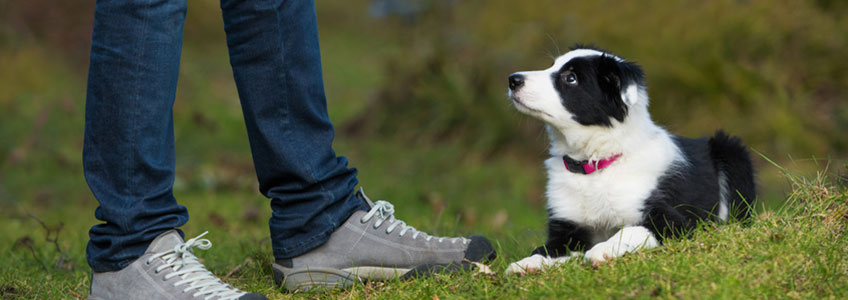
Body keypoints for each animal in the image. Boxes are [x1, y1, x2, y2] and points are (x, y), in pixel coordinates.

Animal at [504, 45, 756, 274]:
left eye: (571, 78)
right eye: (552, 65)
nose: (513, 80)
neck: (595, 165)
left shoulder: (673, 221)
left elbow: (630, 230)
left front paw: (603, 249)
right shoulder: (567, 227)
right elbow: (548, 248)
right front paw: (526, 263)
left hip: (731, 150)